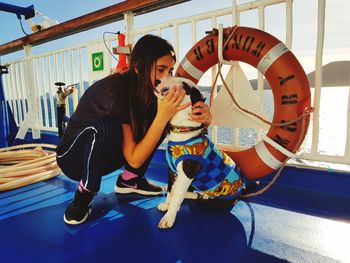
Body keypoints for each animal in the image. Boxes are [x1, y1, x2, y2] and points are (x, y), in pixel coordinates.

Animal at [154, 76, 247, 229]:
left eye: (184, 86)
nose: (157, 81)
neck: (183, 130)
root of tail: (242, 190)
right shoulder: (172, 172)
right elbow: (170, 190)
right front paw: (166, 205)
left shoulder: (186, 175)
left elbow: (176, 196)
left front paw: (169, 218)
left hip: (214, 200)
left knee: (200, 199)